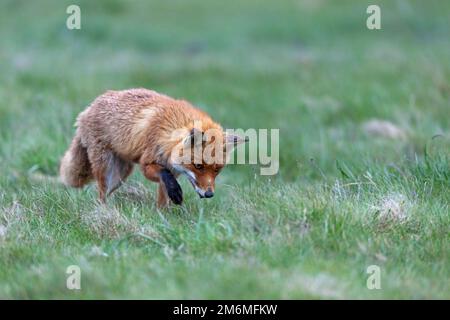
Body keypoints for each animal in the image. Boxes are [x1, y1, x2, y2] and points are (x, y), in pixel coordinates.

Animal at [59, 88, 246, 208]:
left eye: (217, 170)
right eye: (198, 166)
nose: (209, 194)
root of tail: (87, 109)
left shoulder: (173, 170)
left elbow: (164, 197)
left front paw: (164, 218)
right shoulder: (149, 164)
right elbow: (165, 176)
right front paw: (176, 194)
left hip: (121, 175)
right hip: (107, 169)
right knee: (101, 195)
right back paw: (104, 213)